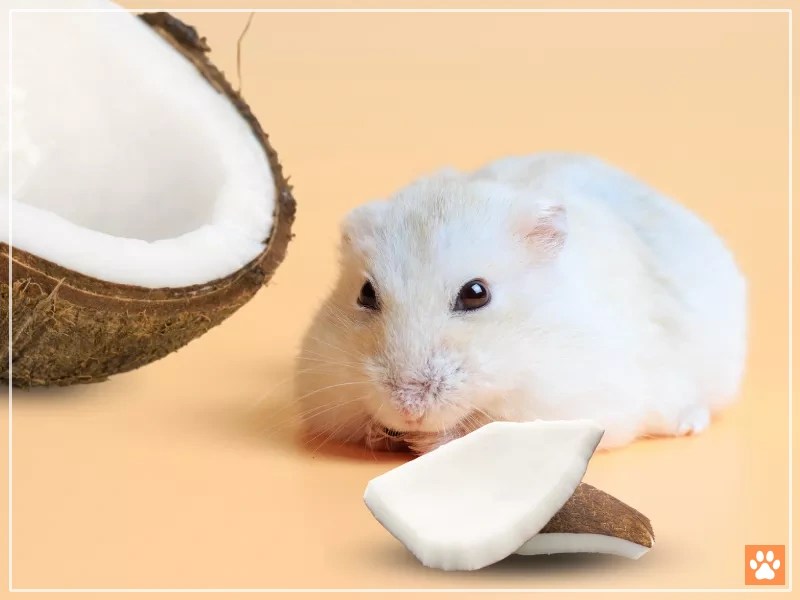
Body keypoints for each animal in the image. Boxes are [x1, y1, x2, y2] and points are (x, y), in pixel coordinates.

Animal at [294, 153, 748, 454]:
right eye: (365, 294)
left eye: (476, 293)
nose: (408, 409)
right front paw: (386, 433)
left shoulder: (558, 402)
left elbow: (476, 429)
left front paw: (423, 438)